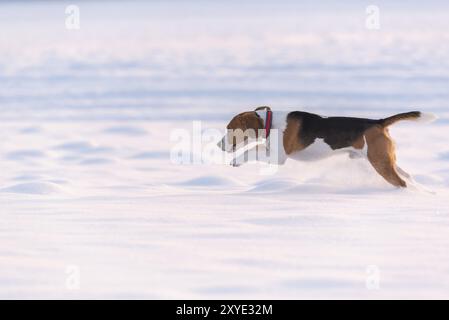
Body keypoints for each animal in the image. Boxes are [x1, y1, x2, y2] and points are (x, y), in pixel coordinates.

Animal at [218, 107, 434, 188]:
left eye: (230, 128)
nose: (219, 145)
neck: (270, 123)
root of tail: (378, 122)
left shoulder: (278, 157)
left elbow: (252, 150)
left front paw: (237, 160)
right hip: (386, 160)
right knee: (407, 176)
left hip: (380, 163)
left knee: (401, 182)